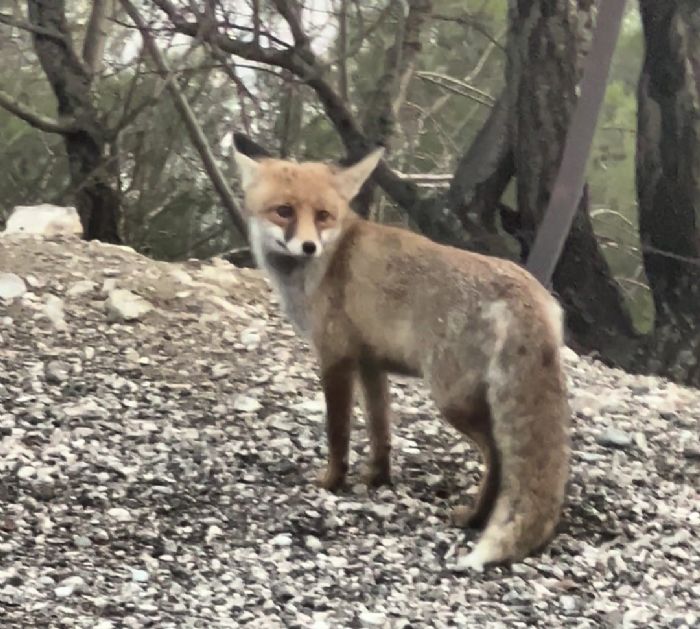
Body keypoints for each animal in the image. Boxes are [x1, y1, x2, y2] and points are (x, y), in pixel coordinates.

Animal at [231, 139, 568, 568]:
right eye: (284, 211)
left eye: (323, 216)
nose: (308, 246)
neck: (326, 264)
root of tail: (530, 291)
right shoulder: (371, 364)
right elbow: (380, 429)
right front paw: (377, 477)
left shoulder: (335, 356)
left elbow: (338, 432)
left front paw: (331, 482)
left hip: (451, 401)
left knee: (498, 456)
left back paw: (474, 518)